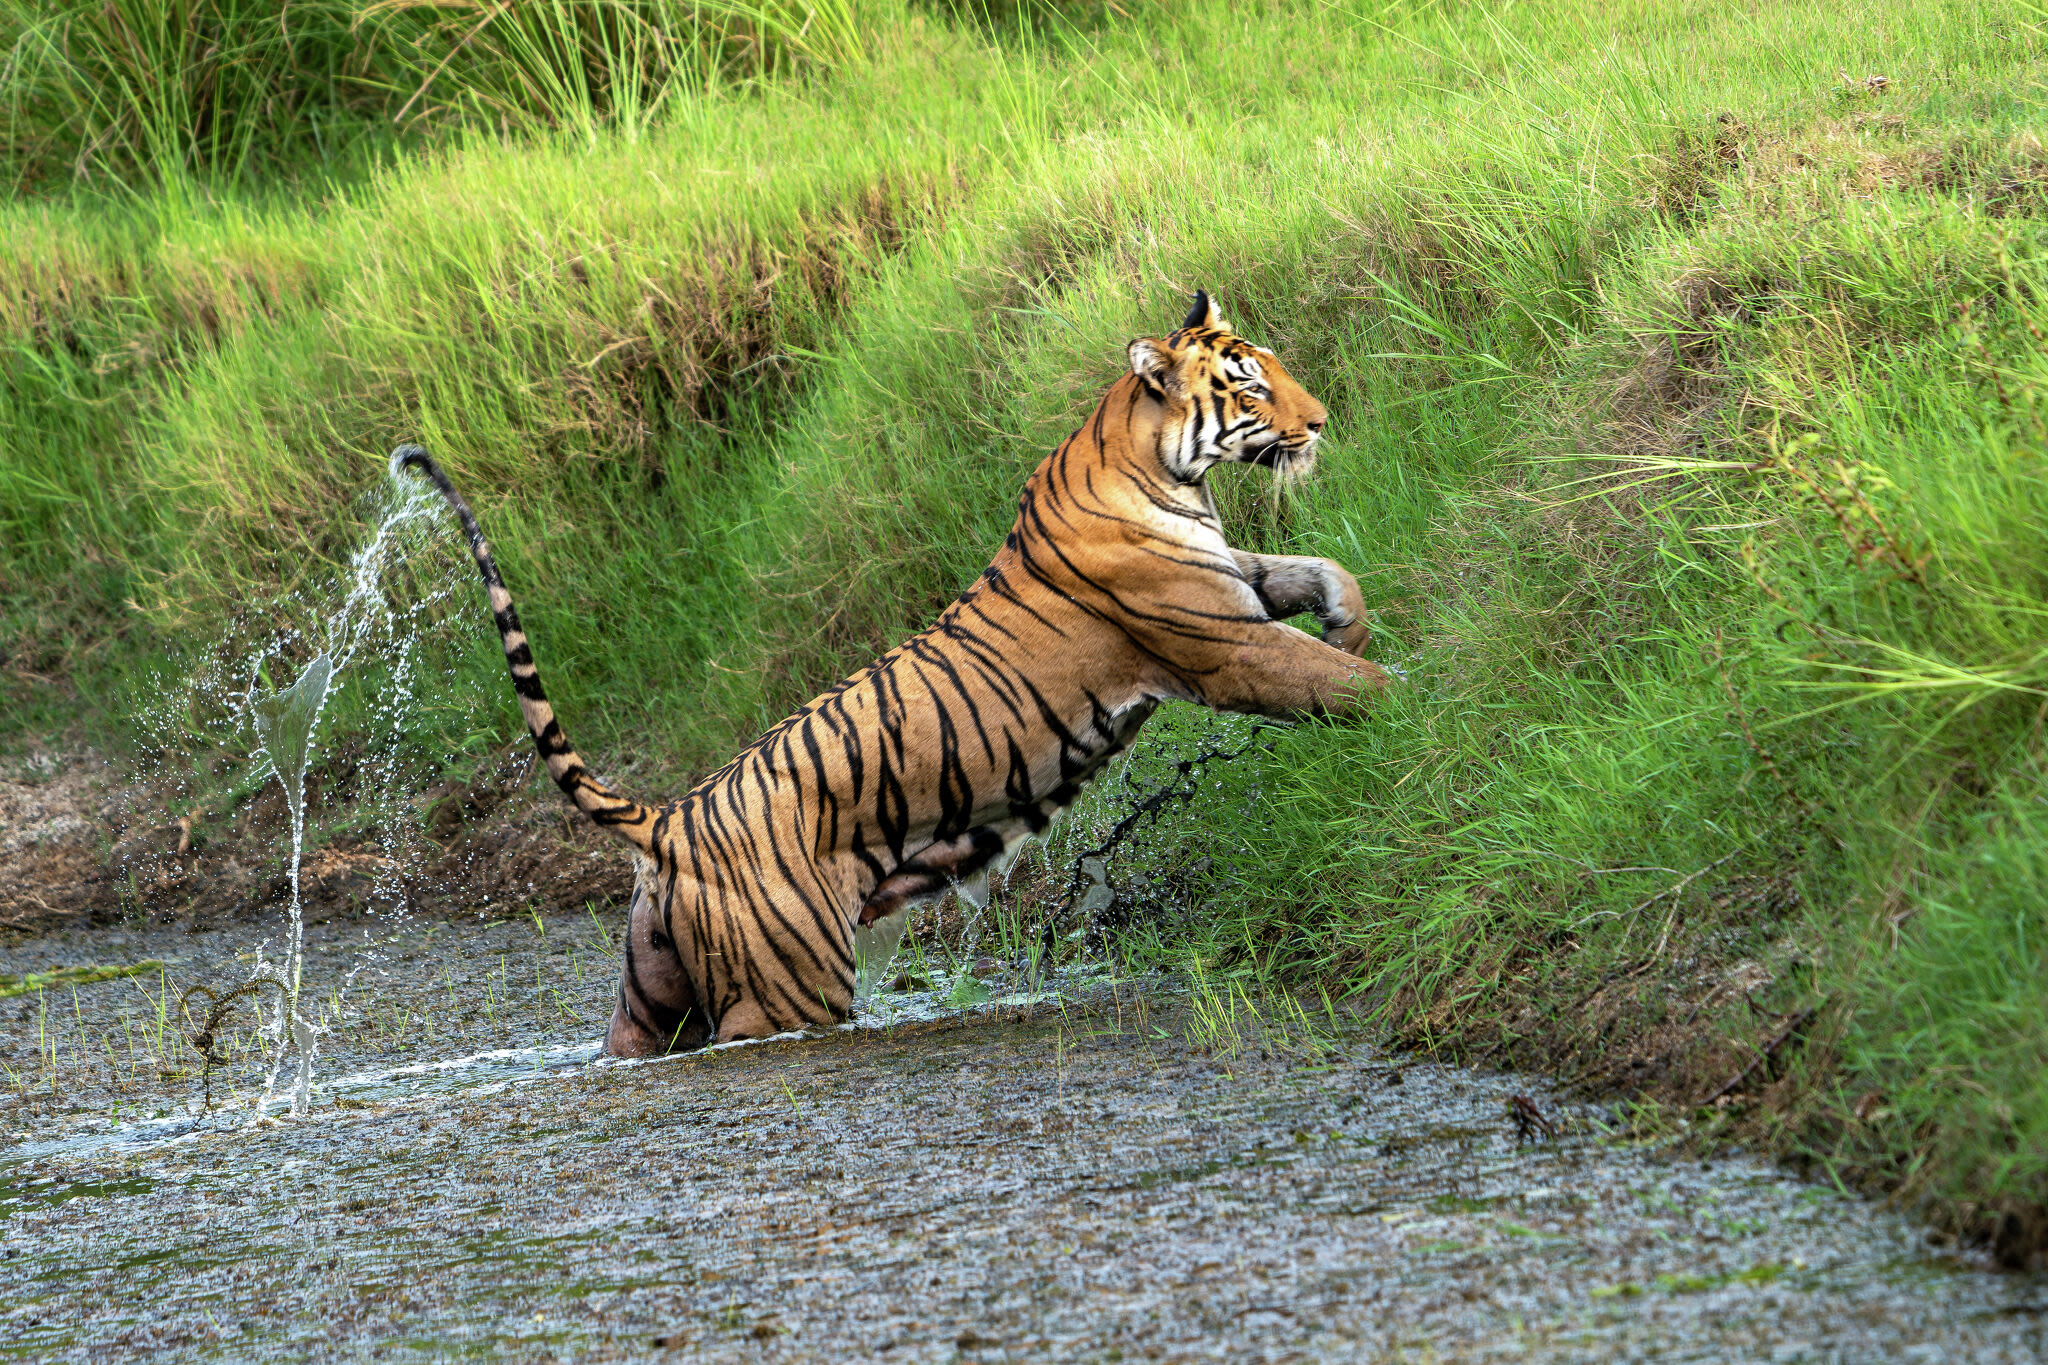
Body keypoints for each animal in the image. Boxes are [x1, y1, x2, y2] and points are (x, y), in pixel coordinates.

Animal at [395, 288, 1392, 1055]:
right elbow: (1341, 681)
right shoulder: (1220, 639)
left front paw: (1350, 624)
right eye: (1249, 381)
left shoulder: (1231, 585)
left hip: (649, 1001)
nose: (1322, 422)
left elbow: (1322, 574)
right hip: (787, 988)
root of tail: (670, 819)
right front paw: (1409, 708)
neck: (1168, 470)